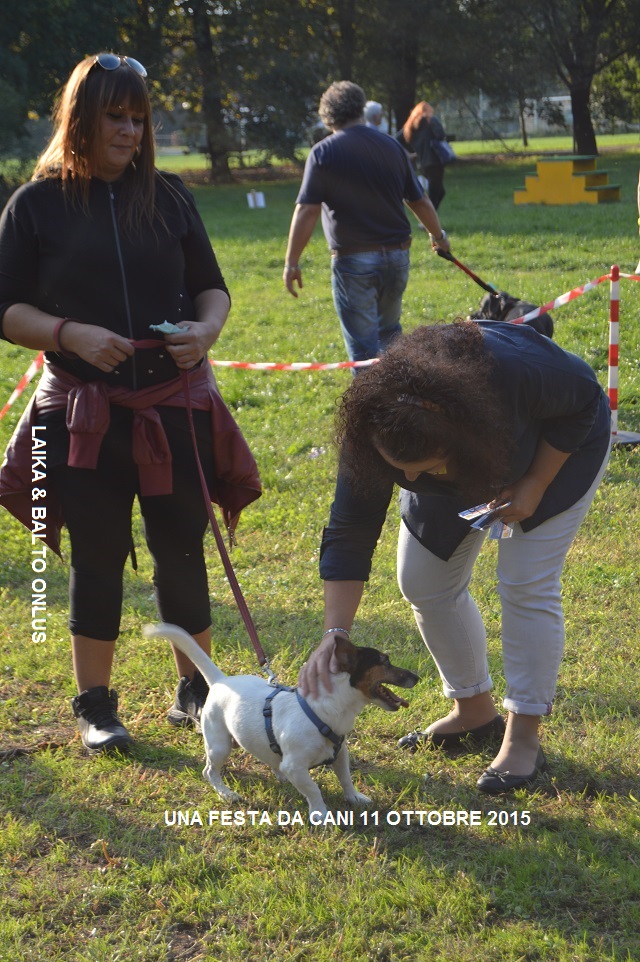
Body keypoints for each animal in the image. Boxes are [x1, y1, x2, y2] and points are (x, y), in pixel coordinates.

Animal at [142, 624, 418, 816]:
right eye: (385, 661)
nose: (417, 676)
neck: (326, 712)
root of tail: (221, 681)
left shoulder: (340, 753)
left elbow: (346, 778)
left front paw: (355, 798)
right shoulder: (296, 766)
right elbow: (313, 789)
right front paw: (320, 813)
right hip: (219, 745)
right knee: (209, 771)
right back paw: (226, 793)